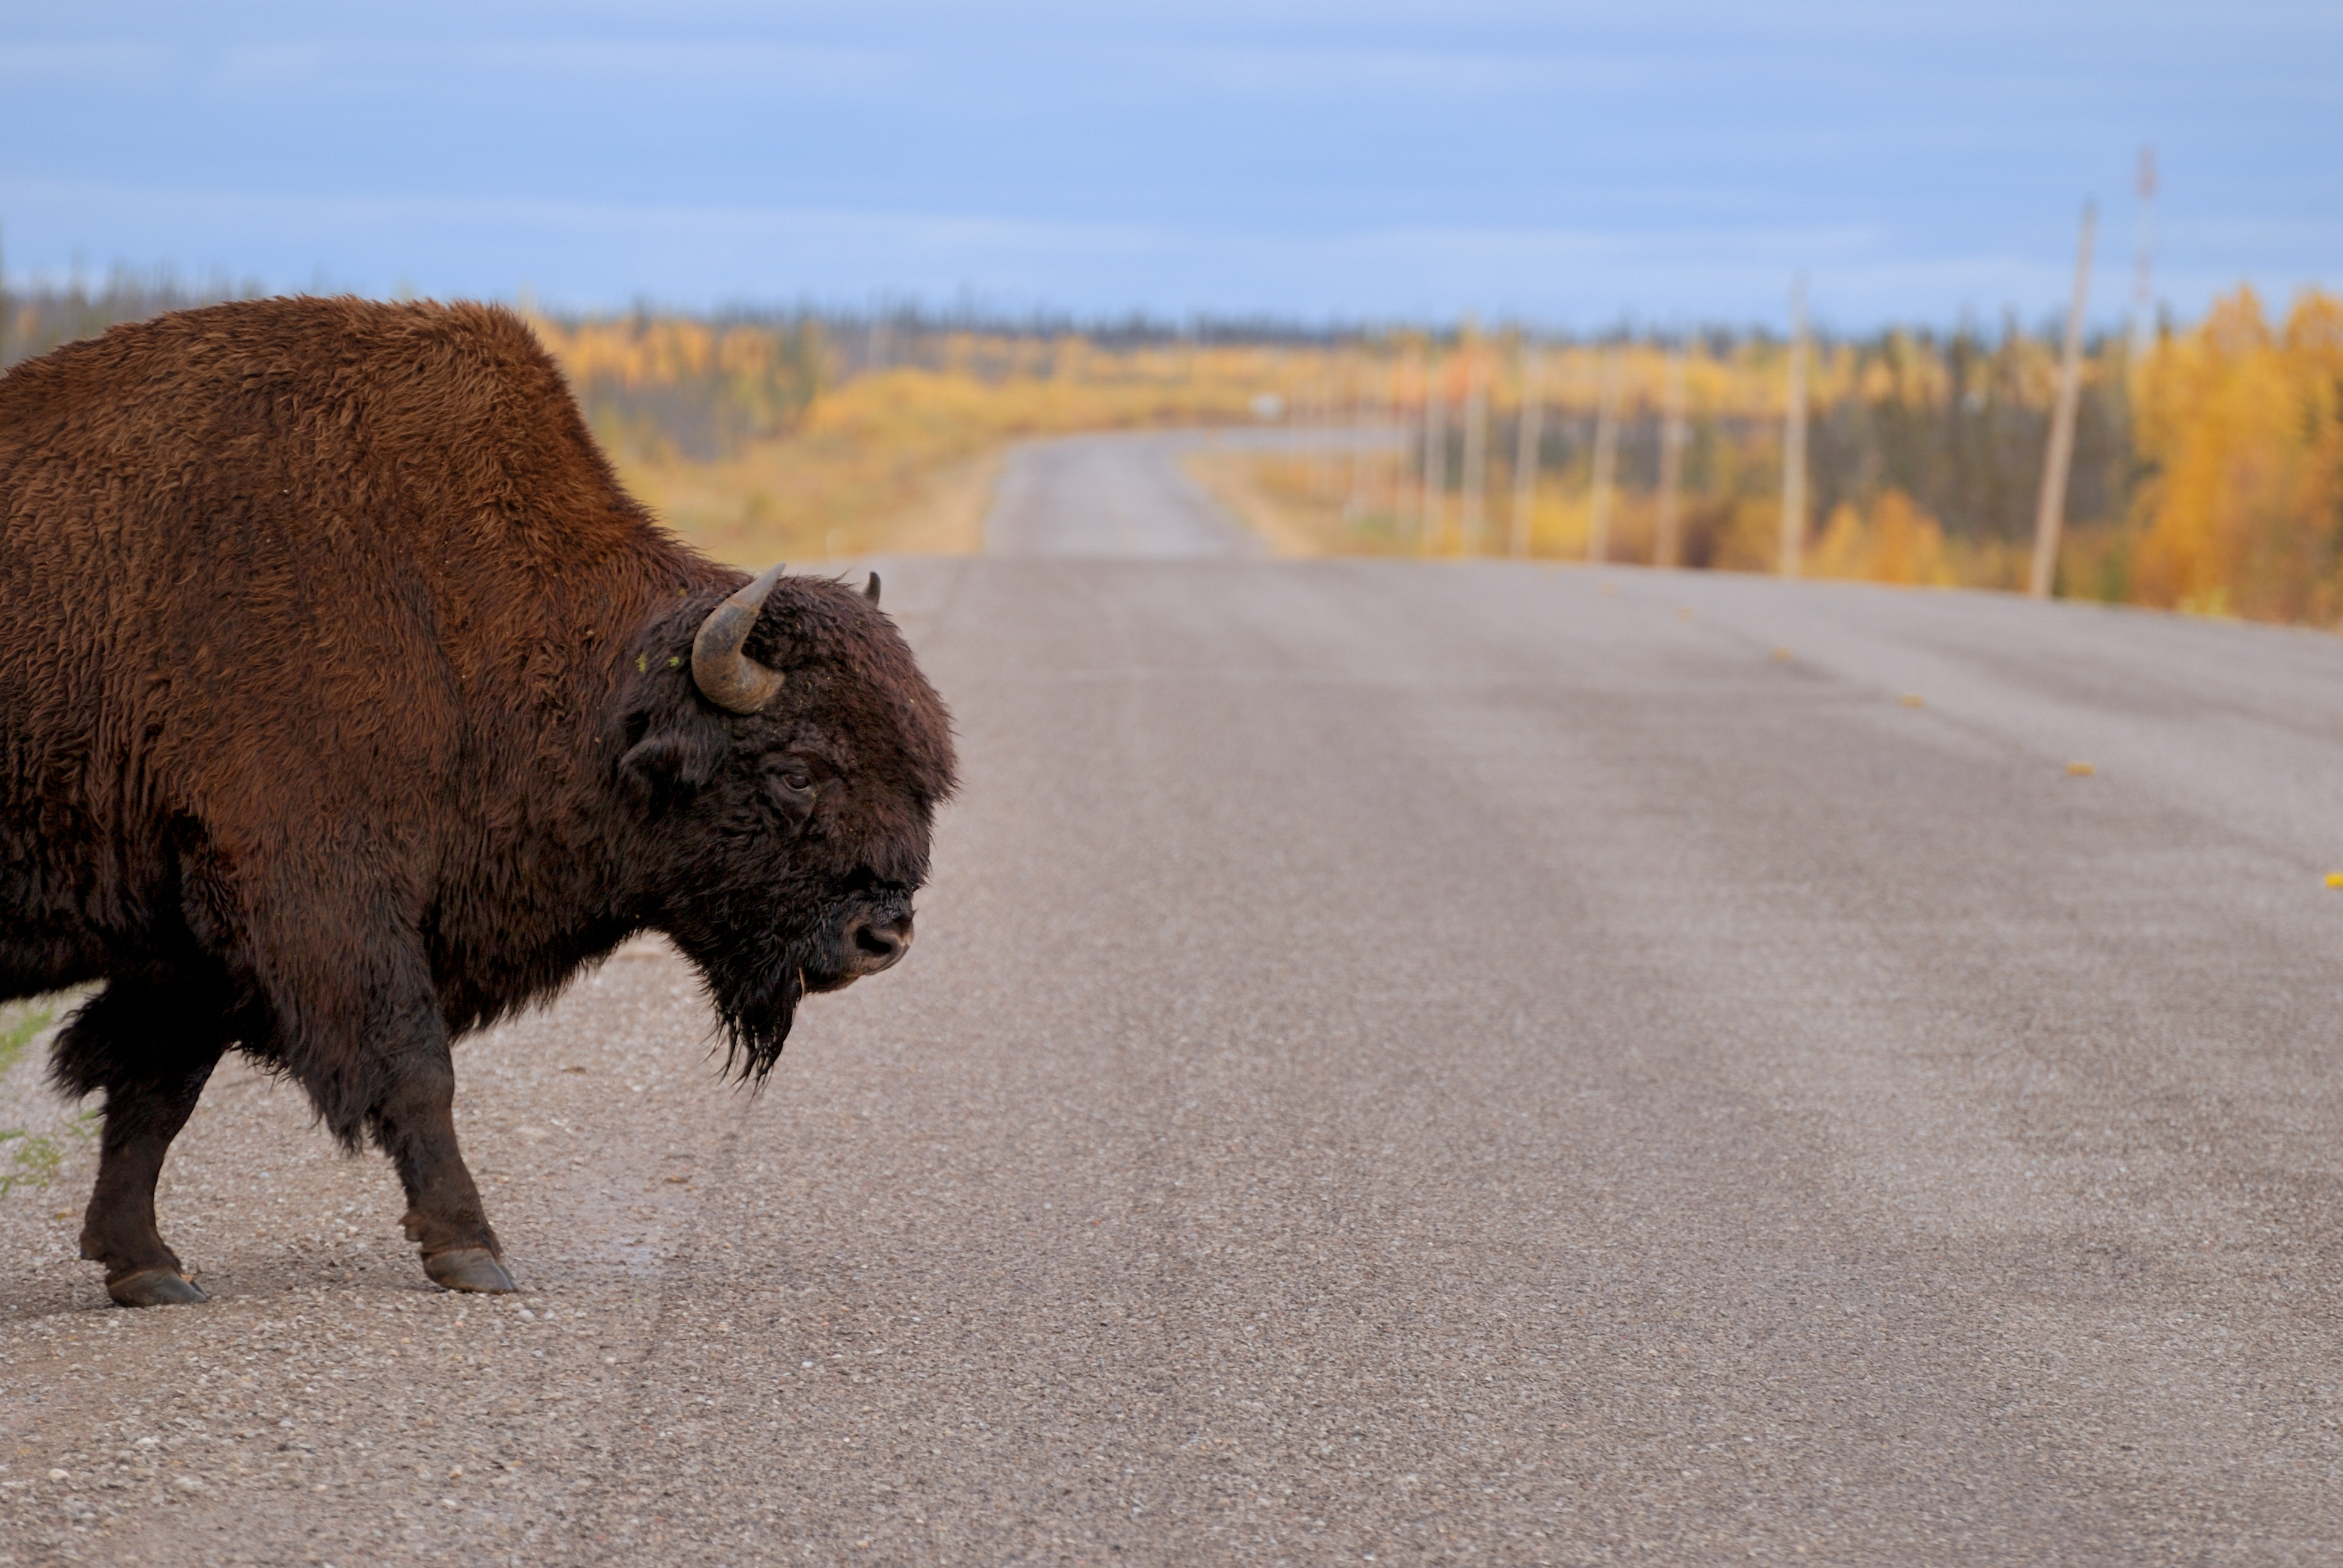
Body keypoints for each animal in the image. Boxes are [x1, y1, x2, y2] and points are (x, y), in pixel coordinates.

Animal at [0, 297, 955, 1305]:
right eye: (796, 770)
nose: (883, 937)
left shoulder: (190, 950)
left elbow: (154, 1091)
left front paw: (145, 1266)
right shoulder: (320, 901)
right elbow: (414, 1068)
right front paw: (471, 1252)